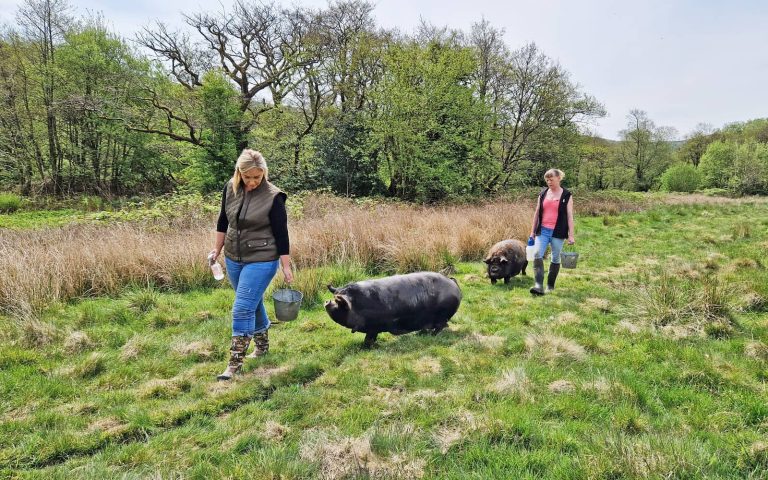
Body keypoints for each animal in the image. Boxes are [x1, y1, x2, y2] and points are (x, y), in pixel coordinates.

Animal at [324, 272, 462, 347]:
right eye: (335, 296)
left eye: (339, 302)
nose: (327, 301)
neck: (357, 305)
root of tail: (452, 283)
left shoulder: (374, 327)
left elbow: (370, 338)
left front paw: (371, 346)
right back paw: (422, 334)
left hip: (442, 314)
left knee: (442, 326)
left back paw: (431, 335)